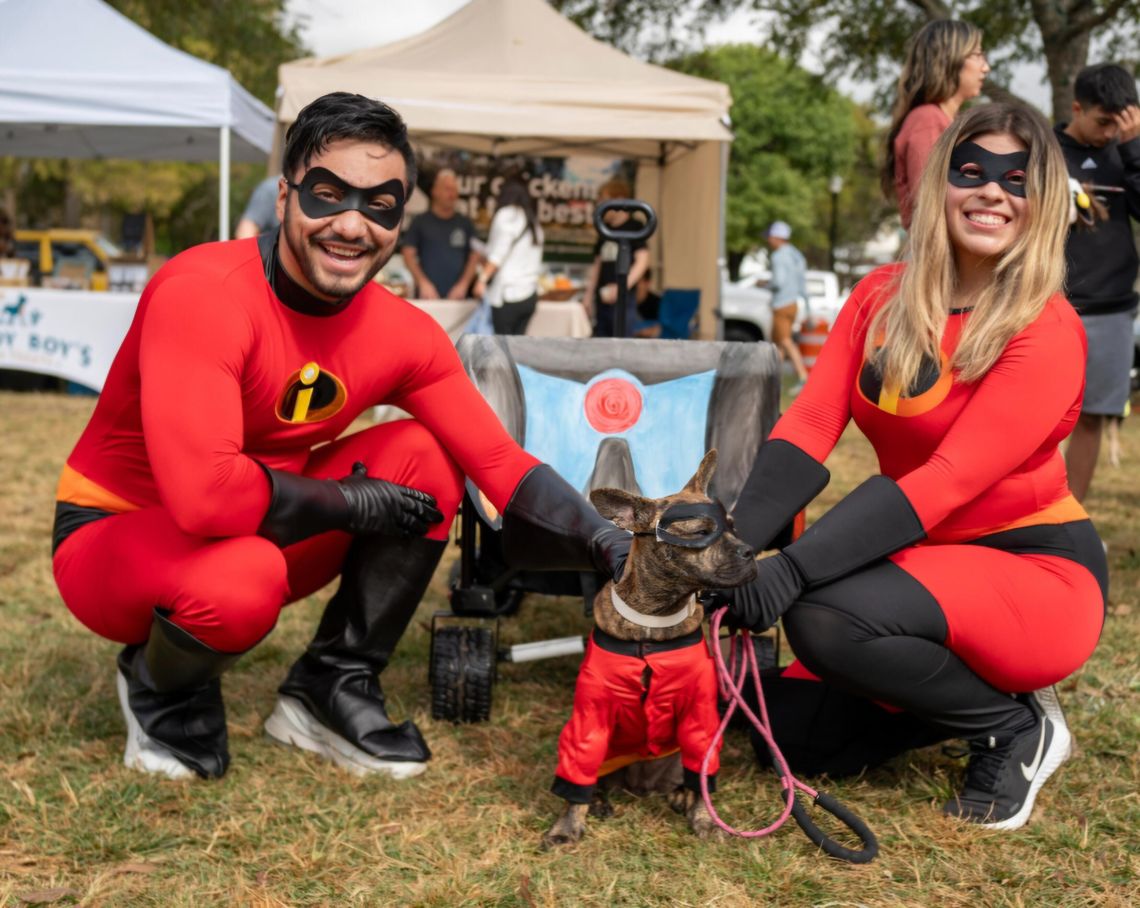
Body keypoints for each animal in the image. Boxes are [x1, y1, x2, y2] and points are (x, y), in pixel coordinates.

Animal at [540, 449, 756, 848]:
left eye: (734, 527)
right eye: (701, 533)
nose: (749, 551)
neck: (654, 620)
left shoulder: (700, 715)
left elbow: (703, 774)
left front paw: (705, 818)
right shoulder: (591, 715)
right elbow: (575, 779)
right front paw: (566, 826)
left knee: (687, 774)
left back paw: (681, 795)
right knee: (594, 779)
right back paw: (598, 800)